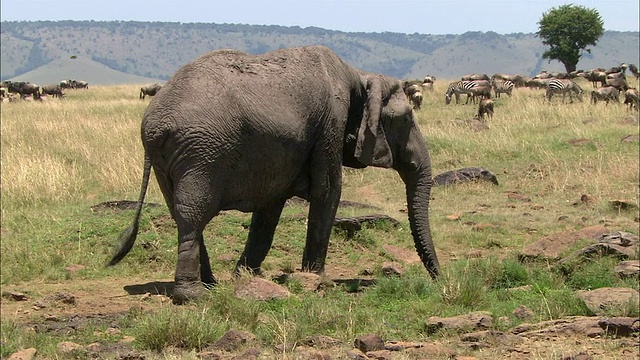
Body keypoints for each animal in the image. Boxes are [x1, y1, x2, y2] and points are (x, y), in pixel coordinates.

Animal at [109, 45, 440, 304]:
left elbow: (270, 207)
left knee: (181, 212)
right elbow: (328, 191)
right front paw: (318, 281)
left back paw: (211, 284)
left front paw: (246, 276)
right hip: (200, 153)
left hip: (170, 161)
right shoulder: (330, 123)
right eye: (406, 119)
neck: (359, 76)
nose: (439, 280)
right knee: (193, 213)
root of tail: (154, 123)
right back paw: (194, 296)